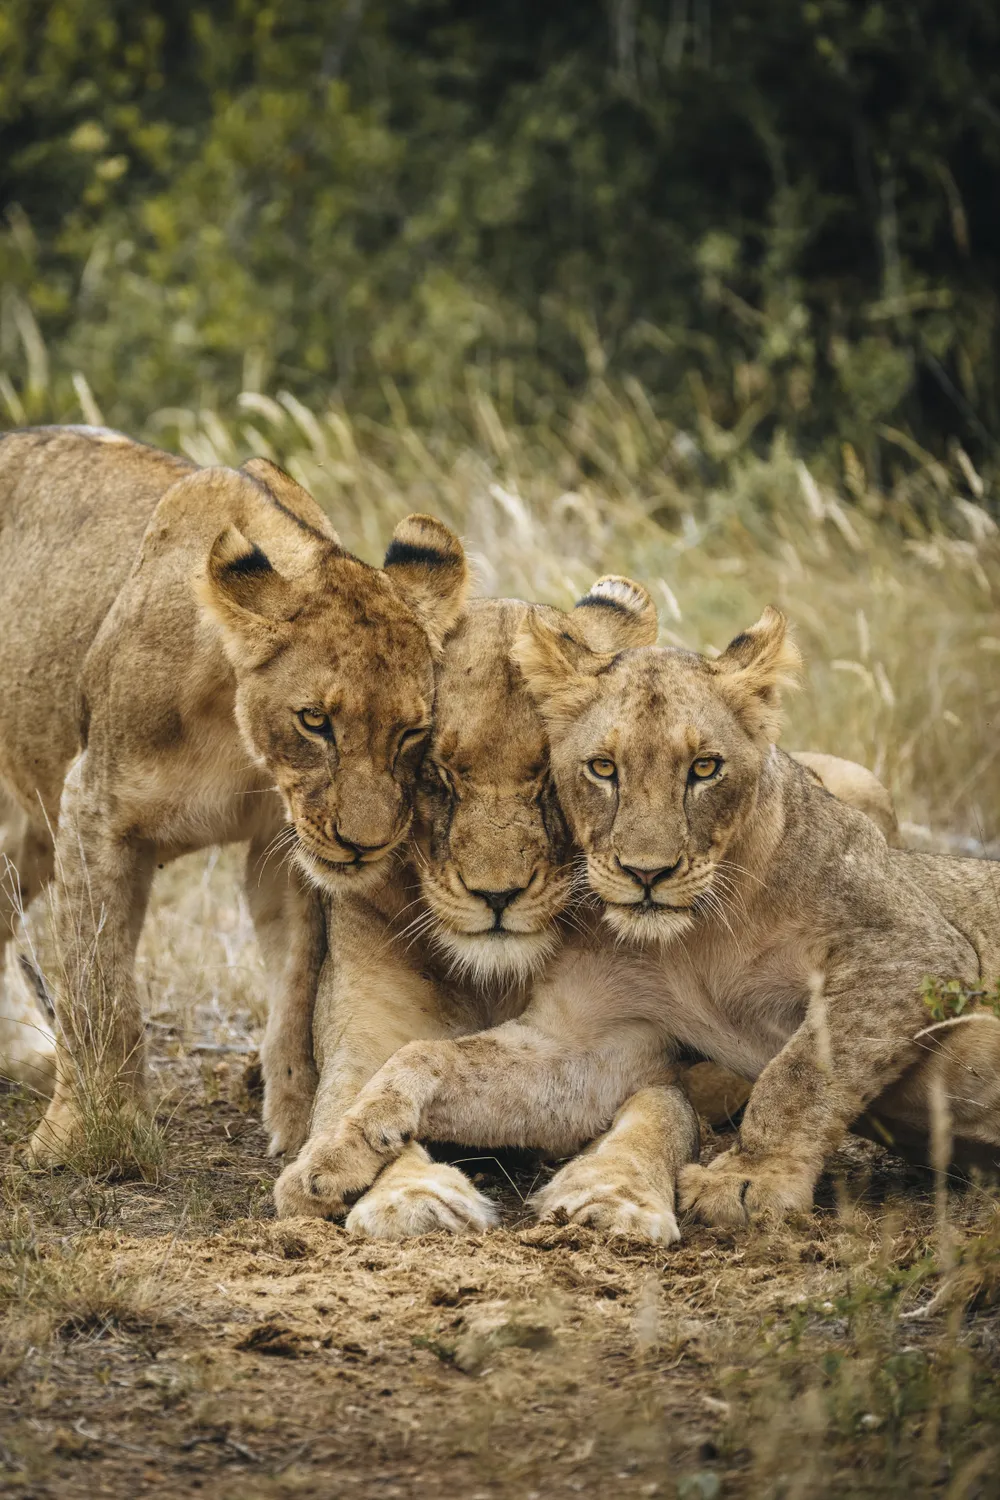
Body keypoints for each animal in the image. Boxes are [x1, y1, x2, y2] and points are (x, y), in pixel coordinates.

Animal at [0, 429, 467, 1164]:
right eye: (315, 721)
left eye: (412, 731)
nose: (365, 845)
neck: (233, 729)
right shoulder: (92, 810)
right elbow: (98, 984)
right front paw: (87, 1134)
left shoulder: (284, 844)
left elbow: (299, 986)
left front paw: (298, 1120)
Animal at [271, 585, 917, 1242]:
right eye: (436, 776)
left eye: (546, 781)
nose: (497, 896)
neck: (494, 978)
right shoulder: (361, 1048)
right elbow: (355, 1108)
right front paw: (411, 1195)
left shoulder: (635, 1050)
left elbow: (662, 1114)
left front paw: (614, 1196)